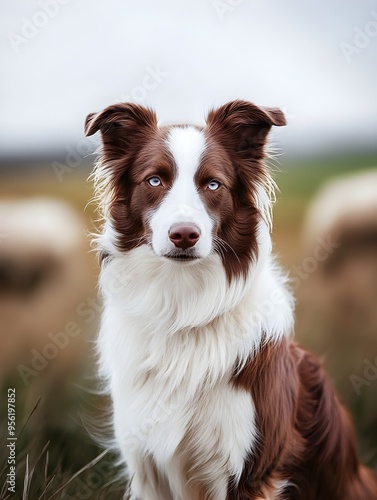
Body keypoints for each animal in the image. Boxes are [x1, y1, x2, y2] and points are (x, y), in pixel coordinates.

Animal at [84, 99, 376, 498]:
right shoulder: (146, 468)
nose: (184, 235)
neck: (182, 306)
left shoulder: (251, 470)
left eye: (213, 184)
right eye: (154, 180)